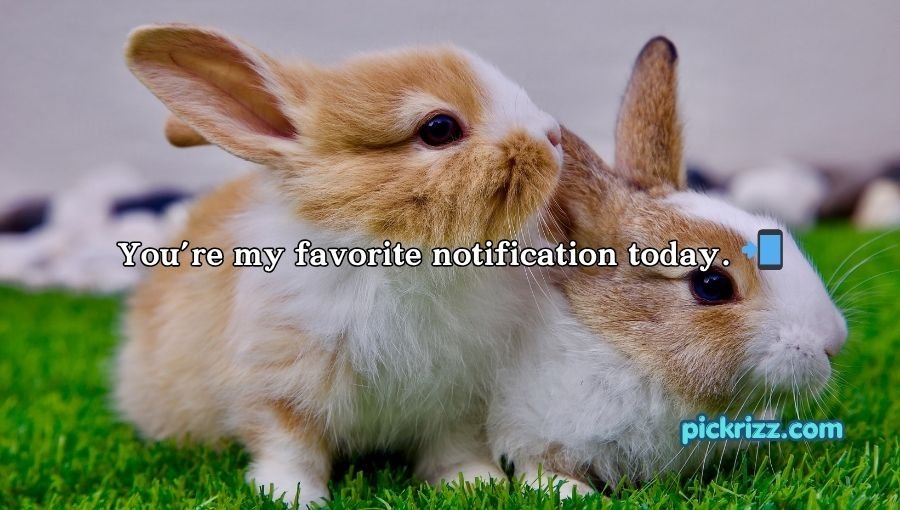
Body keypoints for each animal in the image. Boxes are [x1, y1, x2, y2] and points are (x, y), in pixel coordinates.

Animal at [114, 24, 564, 507]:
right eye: (439, 128)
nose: (554, 136)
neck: (398, 254)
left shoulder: (458, 399)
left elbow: (452, 448)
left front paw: (475, 483)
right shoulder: (279, 390)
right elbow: (290, 450)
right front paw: (292, 497)